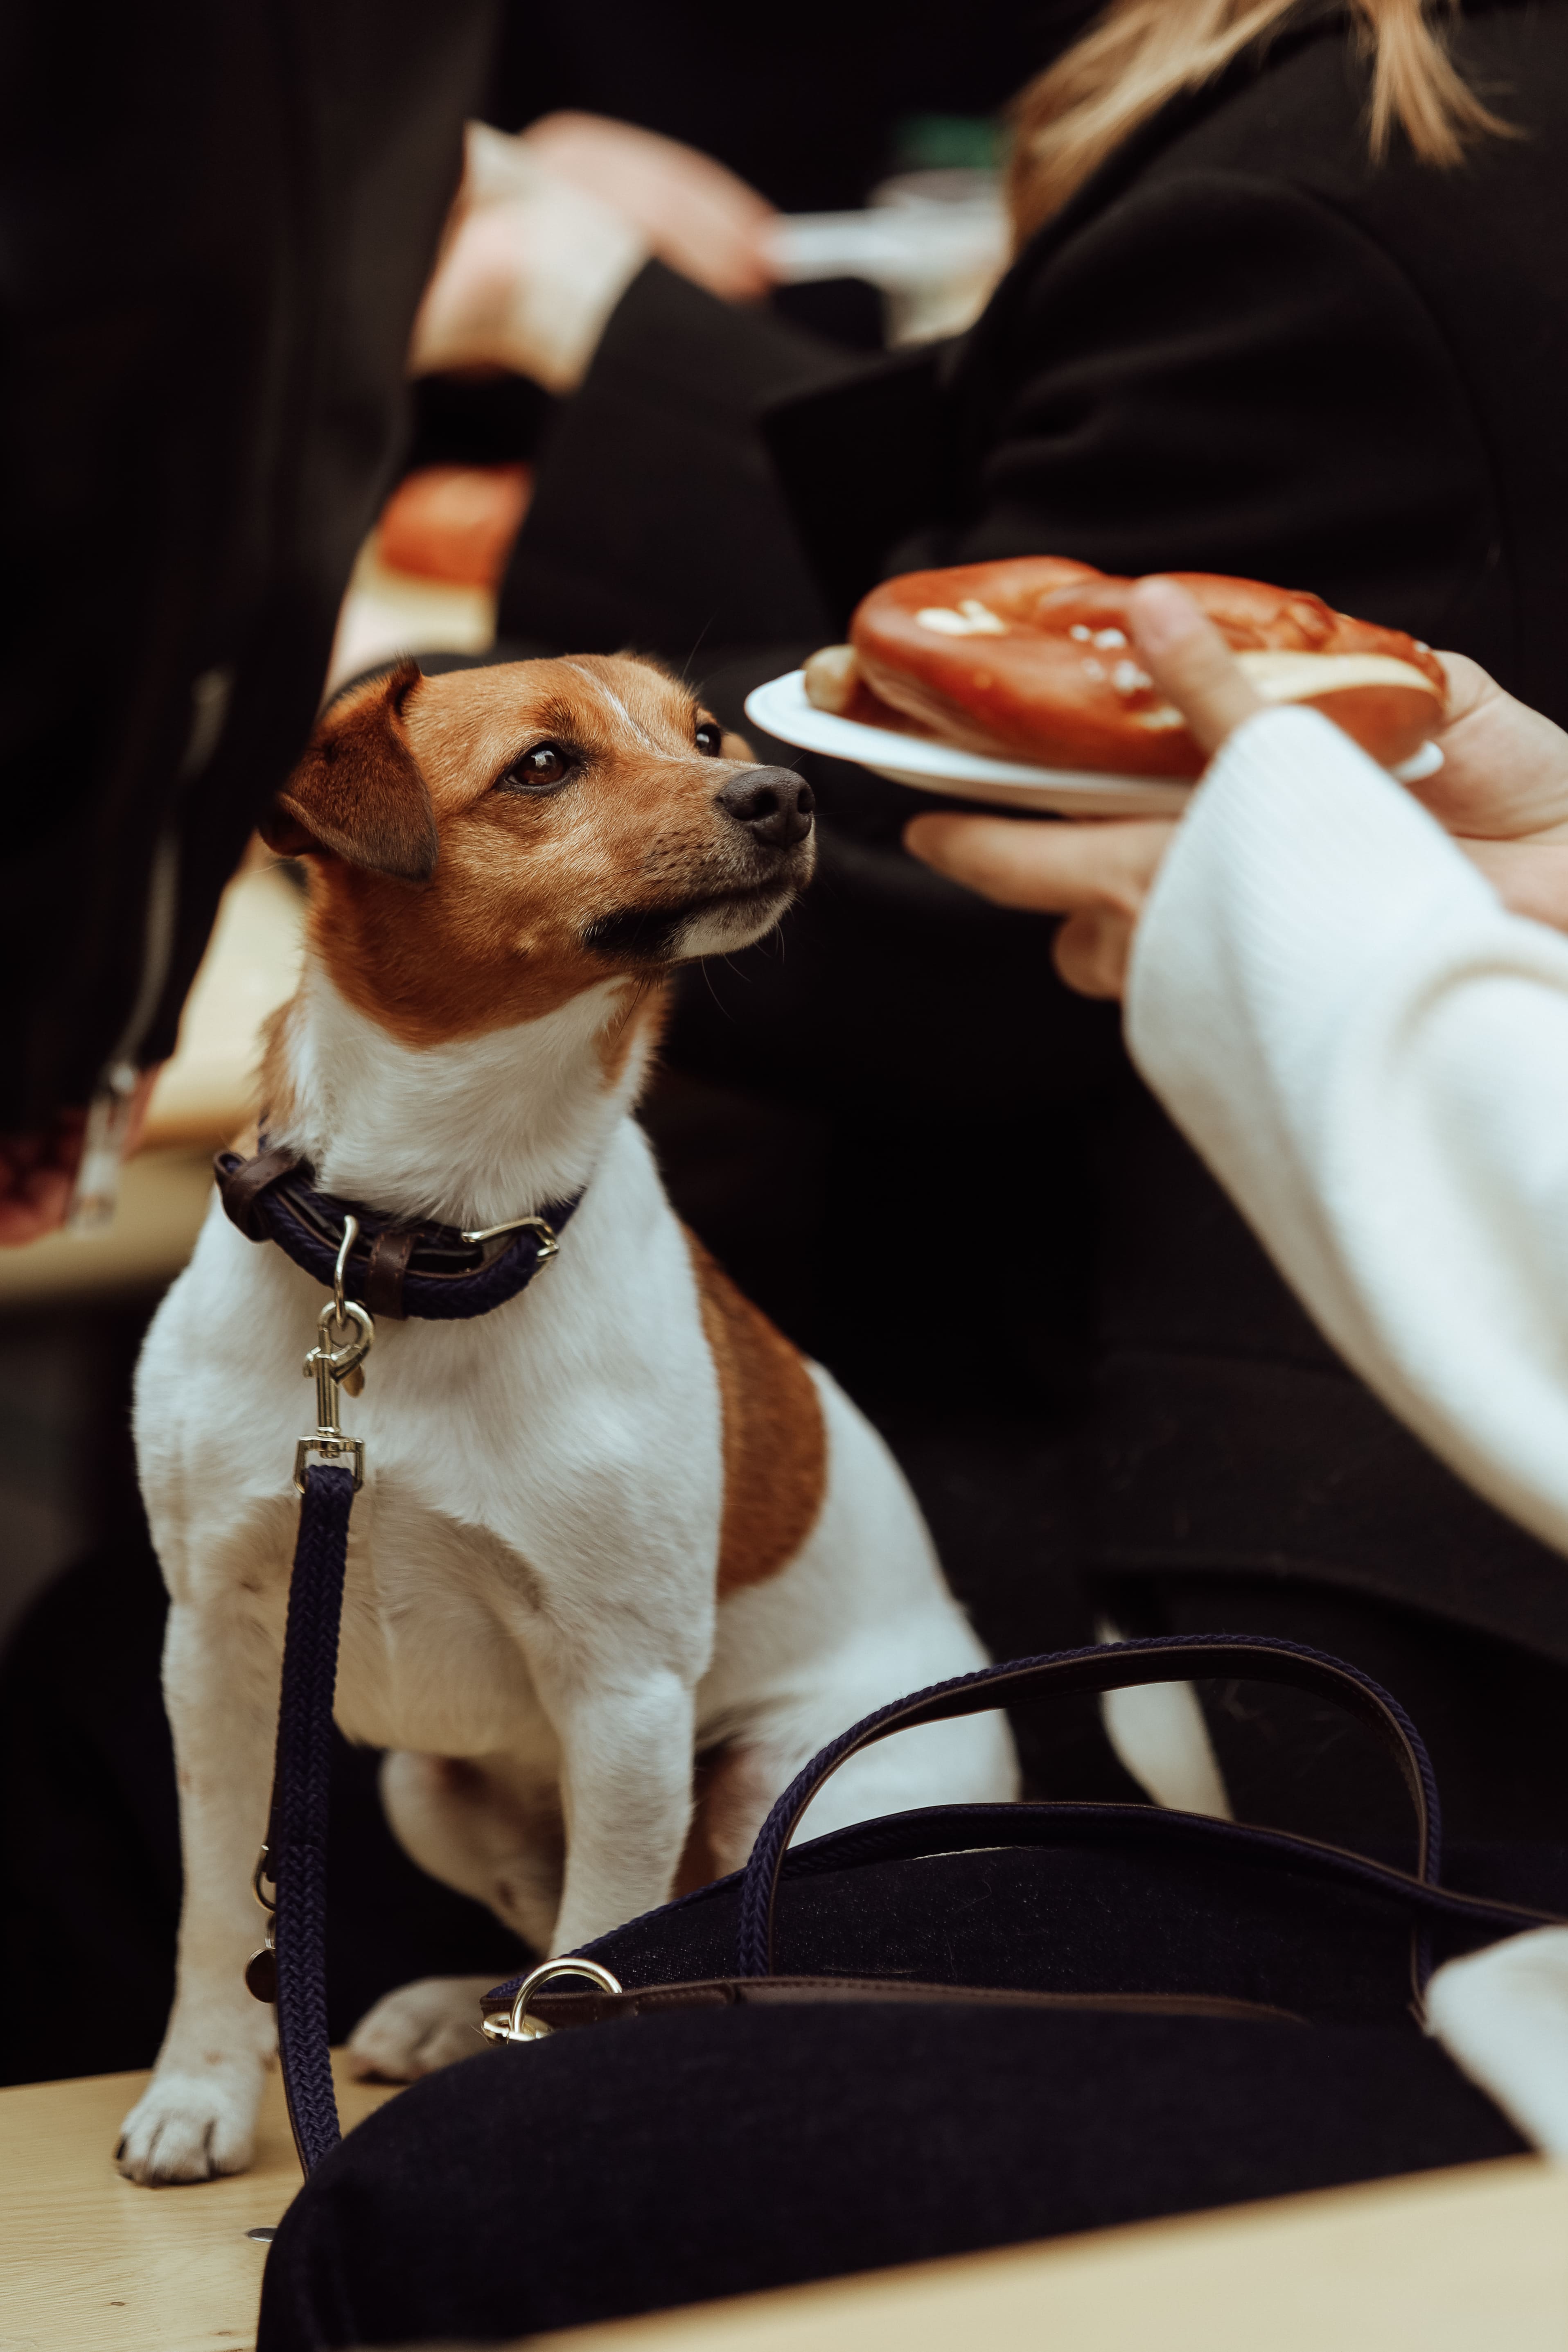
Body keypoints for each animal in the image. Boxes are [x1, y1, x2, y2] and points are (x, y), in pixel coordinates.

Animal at [118, 652, 1019, 2184]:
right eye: (543, 764)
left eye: (706, 732)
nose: (784, 791)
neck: (419, 1245)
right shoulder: (216, 1648)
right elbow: (217, 1907)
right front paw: (203, 2091)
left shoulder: (624, 1693)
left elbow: (600, 1941)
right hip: (427, 1786)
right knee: (522, 1913)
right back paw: (444, 2011)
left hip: (775, 1783)